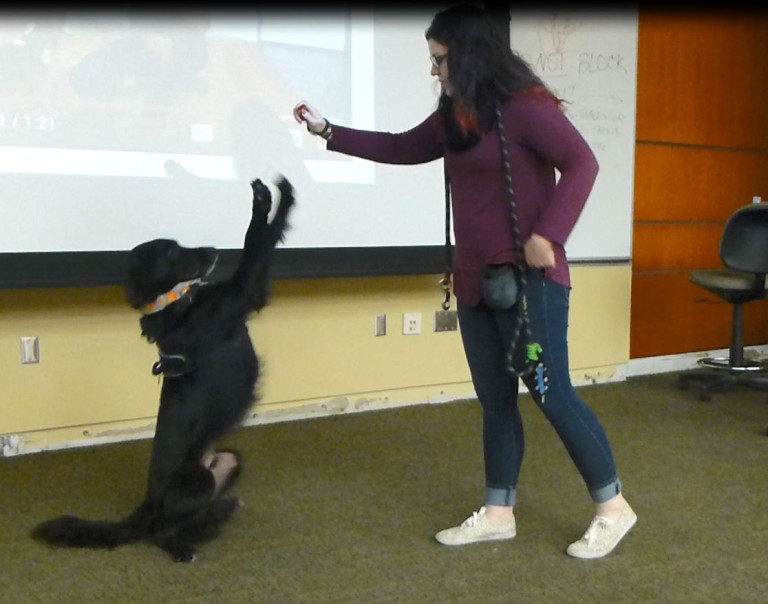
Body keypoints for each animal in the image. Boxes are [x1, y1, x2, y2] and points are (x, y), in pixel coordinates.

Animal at [31, 176, 295, 562]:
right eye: (171, 252)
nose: (213, 249)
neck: (174, 303)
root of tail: (146, 507)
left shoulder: (252, 294)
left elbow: (265, 241)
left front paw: (278, 195)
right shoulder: (240, 293)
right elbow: (255, 242)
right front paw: (270, 197)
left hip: (230, 459)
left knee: (189, 518)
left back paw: (220, 512)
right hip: (197, 480)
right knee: (160, 531)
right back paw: (183, 547)